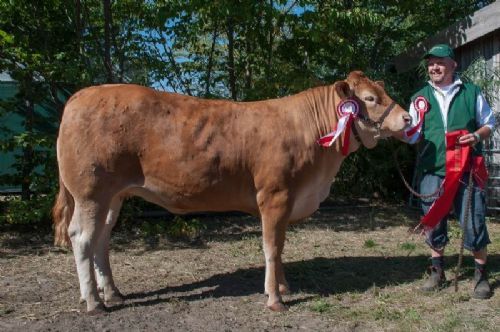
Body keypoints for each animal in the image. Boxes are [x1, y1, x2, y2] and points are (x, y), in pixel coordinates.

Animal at [51, 70, 410, 314]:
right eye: (370, 98)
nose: (408, 118)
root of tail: (82, 95)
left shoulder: (287, 200)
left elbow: (281, 246)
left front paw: (283, 285)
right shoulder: (275, 195)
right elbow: (271, 247)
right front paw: (275, 299)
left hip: (113, 196)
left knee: (101, 239)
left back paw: (112, 293)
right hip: (91, 192)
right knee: (82, 238)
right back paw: (94, 302)